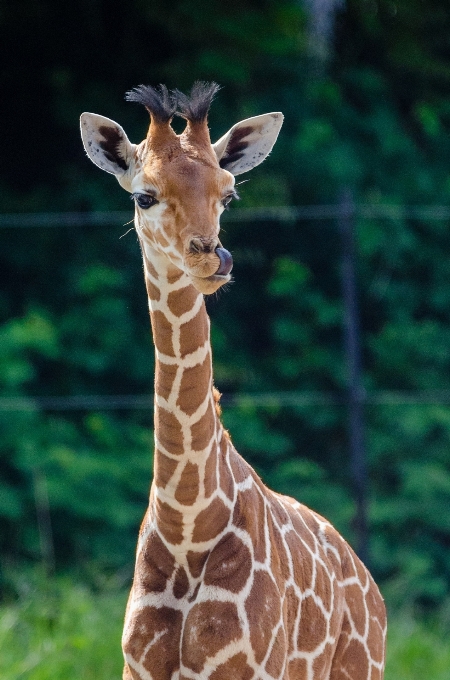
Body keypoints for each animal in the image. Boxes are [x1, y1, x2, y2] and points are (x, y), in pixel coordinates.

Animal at [81, 83, 386, 680]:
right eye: (144, 196)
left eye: (229, 194)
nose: (213, 258)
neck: (187, 527)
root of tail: (370, 586)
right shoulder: (137, 668)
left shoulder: (248, 668)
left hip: (361, 668)